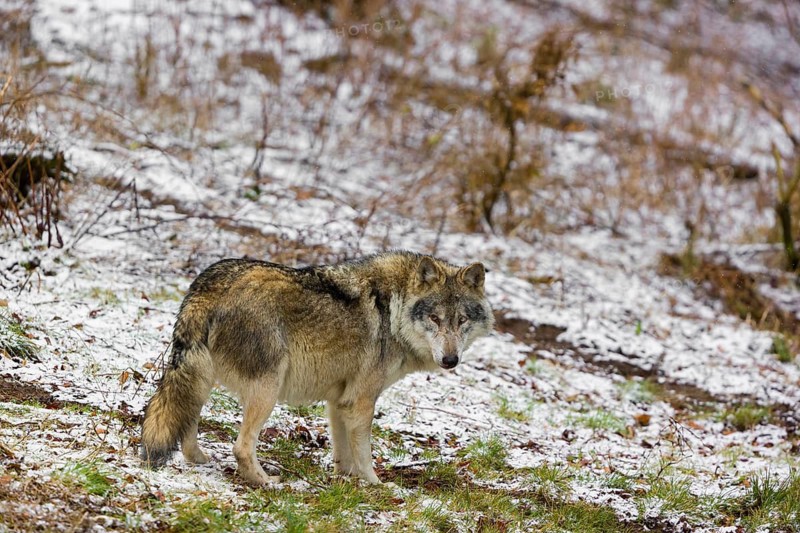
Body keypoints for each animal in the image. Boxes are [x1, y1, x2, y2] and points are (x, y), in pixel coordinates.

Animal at [140, 251, 494, 485]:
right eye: (435, 318)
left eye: (461, 320)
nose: (450, 360)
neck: (395, 312)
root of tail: (209, 285)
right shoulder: (362, 401)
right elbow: (364, 453)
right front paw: (376, 486)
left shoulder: (340, 401)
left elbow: (343, 452)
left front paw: (346, 482)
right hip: (267, 390)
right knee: (240, 446)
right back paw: (267, 483)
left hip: (201, 379)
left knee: (186, 425)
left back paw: (200, 460)